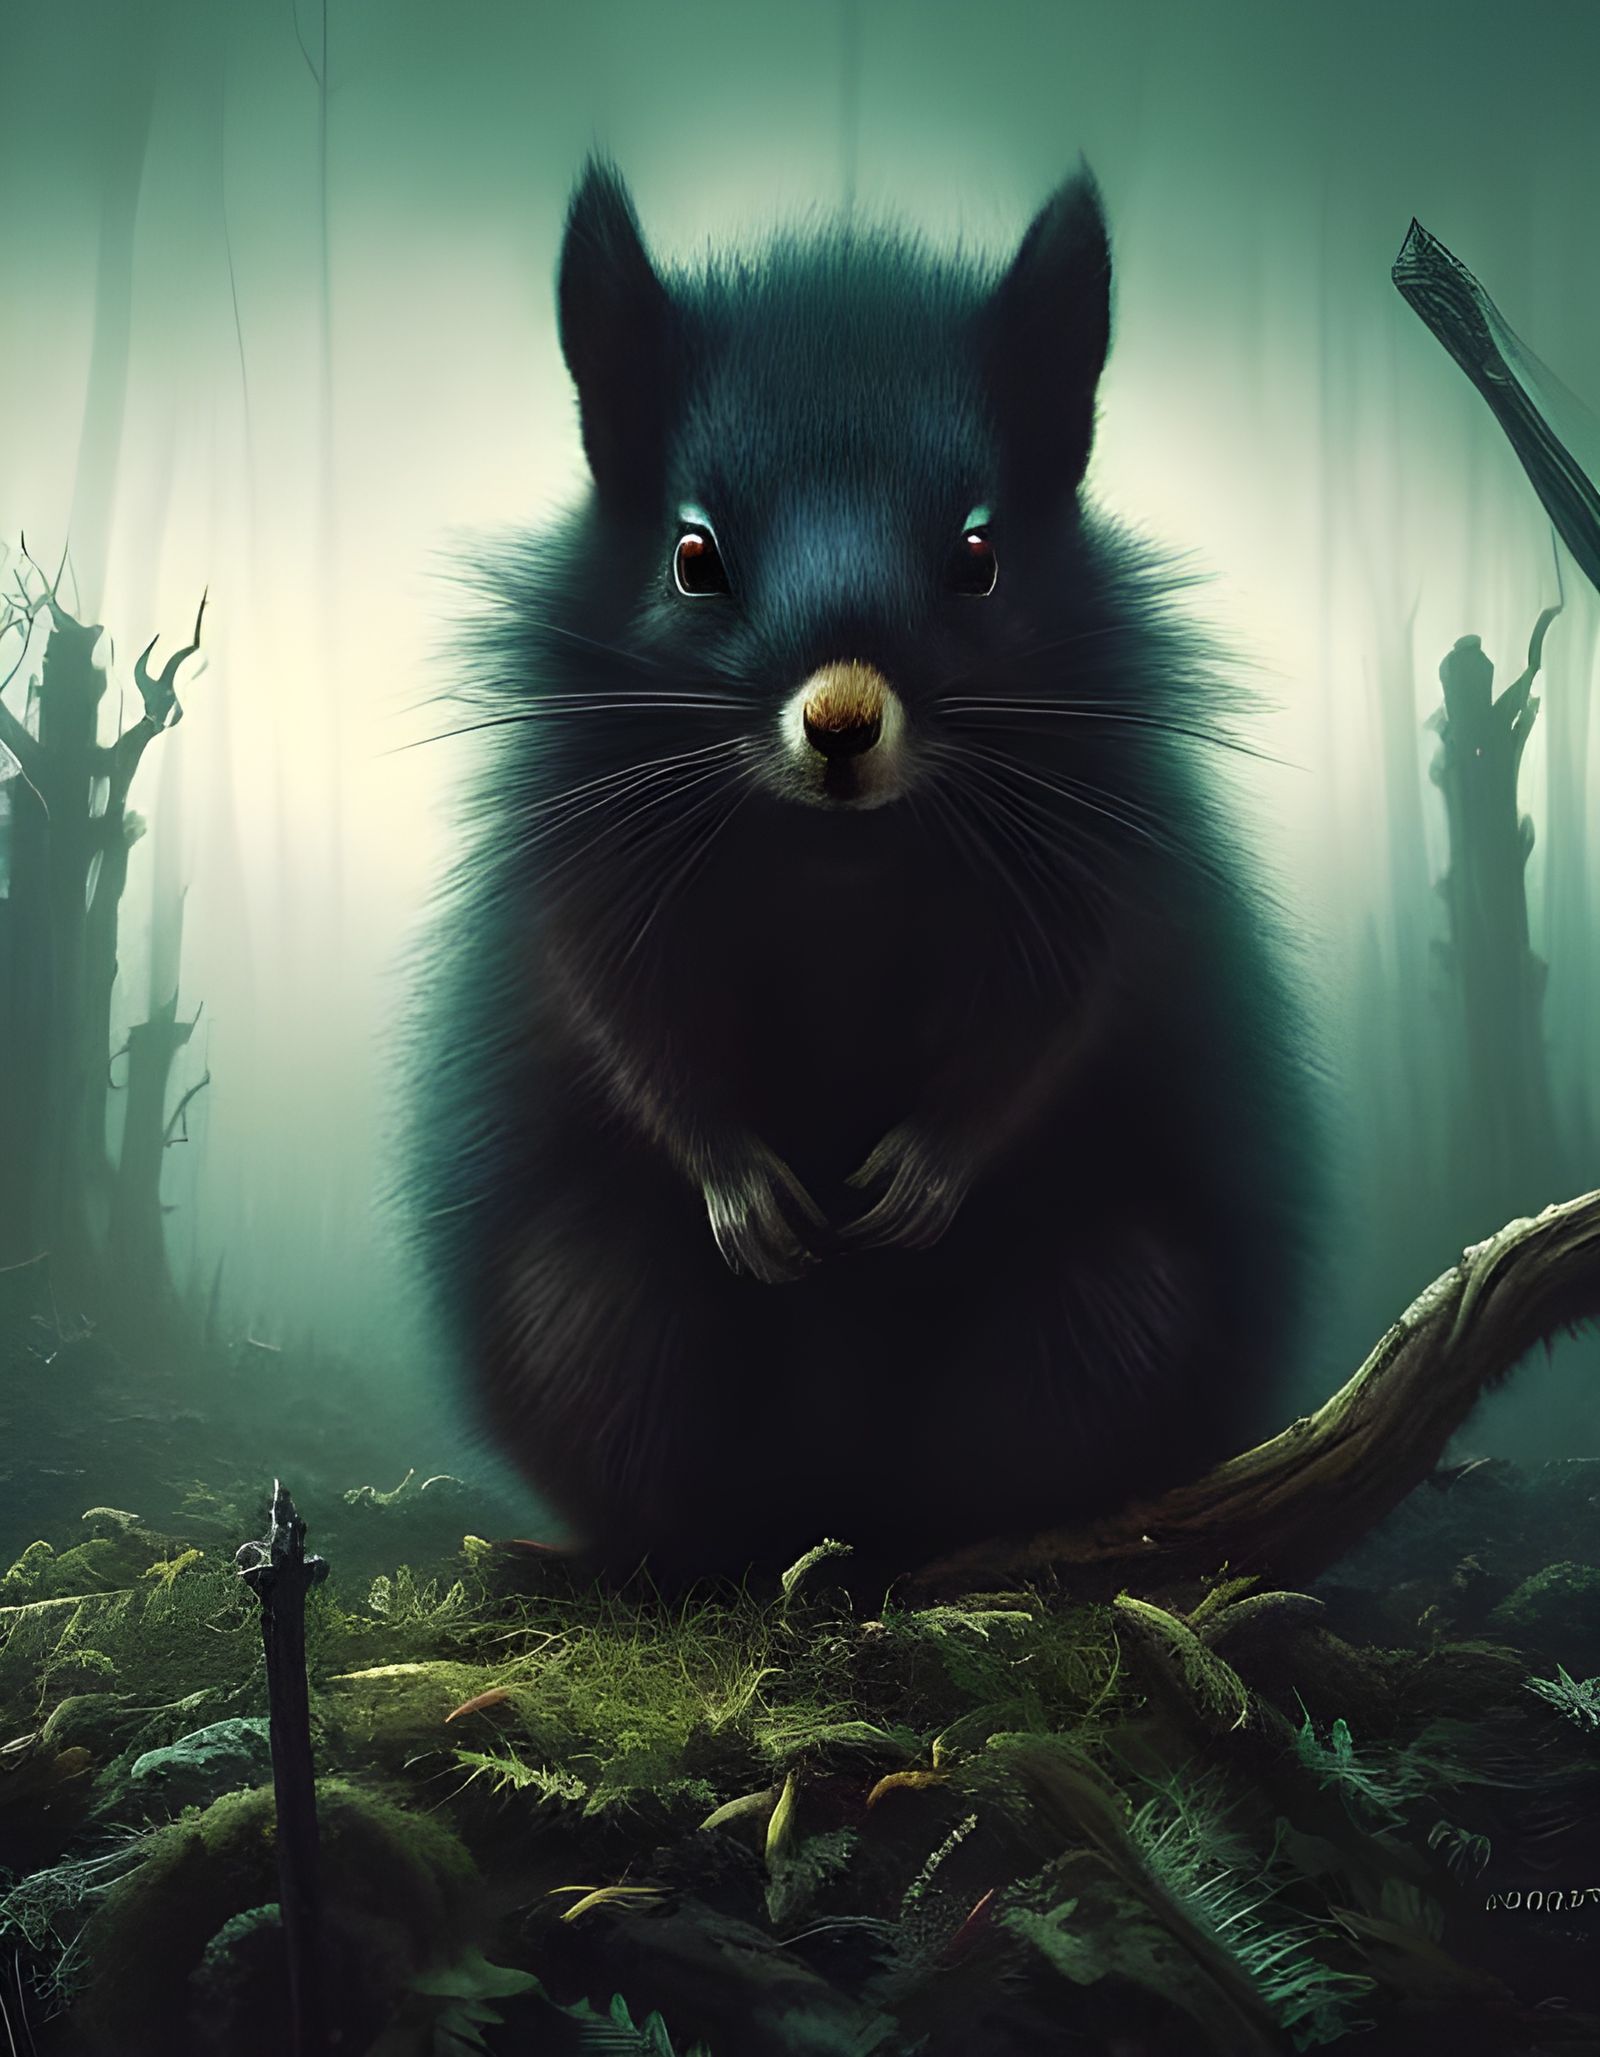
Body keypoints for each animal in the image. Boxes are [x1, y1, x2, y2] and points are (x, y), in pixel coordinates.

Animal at [407, 154, 1319, 1588]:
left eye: (981, 554)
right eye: (691, 554)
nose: (839, 720)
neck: (839, 853)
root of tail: (839, 1511)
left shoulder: (1100, 852)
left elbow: (1053, 1017)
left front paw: (923, 1177)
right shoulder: (583, 848)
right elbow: (625, 1018)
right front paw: (744, 1196)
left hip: (1112, 1313)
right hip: (591, 1316)